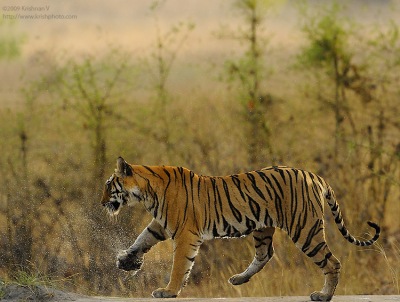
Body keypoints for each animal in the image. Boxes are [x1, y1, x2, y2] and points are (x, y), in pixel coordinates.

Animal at [101, 157, 380, 300]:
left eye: (108, 185)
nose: (101, 202)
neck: (147, 192)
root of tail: (315, 175)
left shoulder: (185, 234)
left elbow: (180, 266)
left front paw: (168, 291)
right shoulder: (160, 225)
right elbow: (141, 240)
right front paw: (126, 260)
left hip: (305, 229)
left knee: (332, 262)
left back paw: (324, 295)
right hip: (263, 228)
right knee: (265, 254)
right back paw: (239, 279)